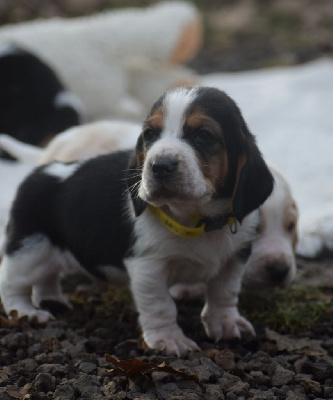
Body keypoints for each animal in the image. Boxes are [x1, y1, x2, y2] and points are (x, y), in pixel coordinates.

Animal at [0, 86, 272, 356]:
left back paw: (52, 300)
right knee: (12, 284)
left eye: (203, 135)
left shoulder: (235, 257)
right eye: (150, 134)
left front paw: (225, 324)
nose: (160, 166)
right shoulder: (148, 267)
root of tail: (40, 171)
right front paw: (169, 340)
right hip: (29, 251)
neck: (197, 220)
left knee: (46, 278)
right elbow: (161, 305)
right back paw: (26, 312)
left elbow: (224, 292)